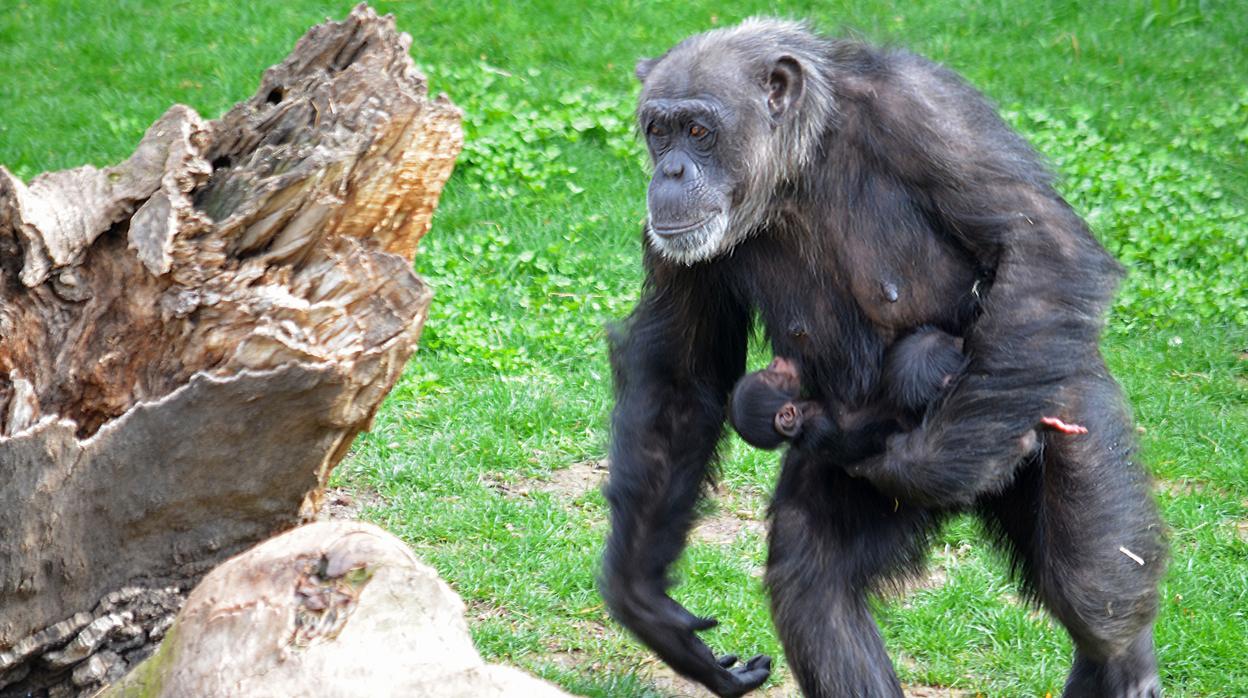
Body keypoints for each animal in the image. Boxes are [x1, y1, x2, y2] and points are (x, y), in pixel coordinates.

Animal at [599, 16, 1163, 698]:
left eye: (699, 131)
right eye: (659, 130)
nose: (672, 172)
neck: (798, 168)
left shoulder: (927, 113)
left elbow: (1037, 244)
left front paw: (924, 465)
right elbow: (684, 375)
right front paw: (649, 607)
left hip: (1066, 398)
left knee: (1091, 585)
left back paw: (1125, 661)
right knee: (812, 577)